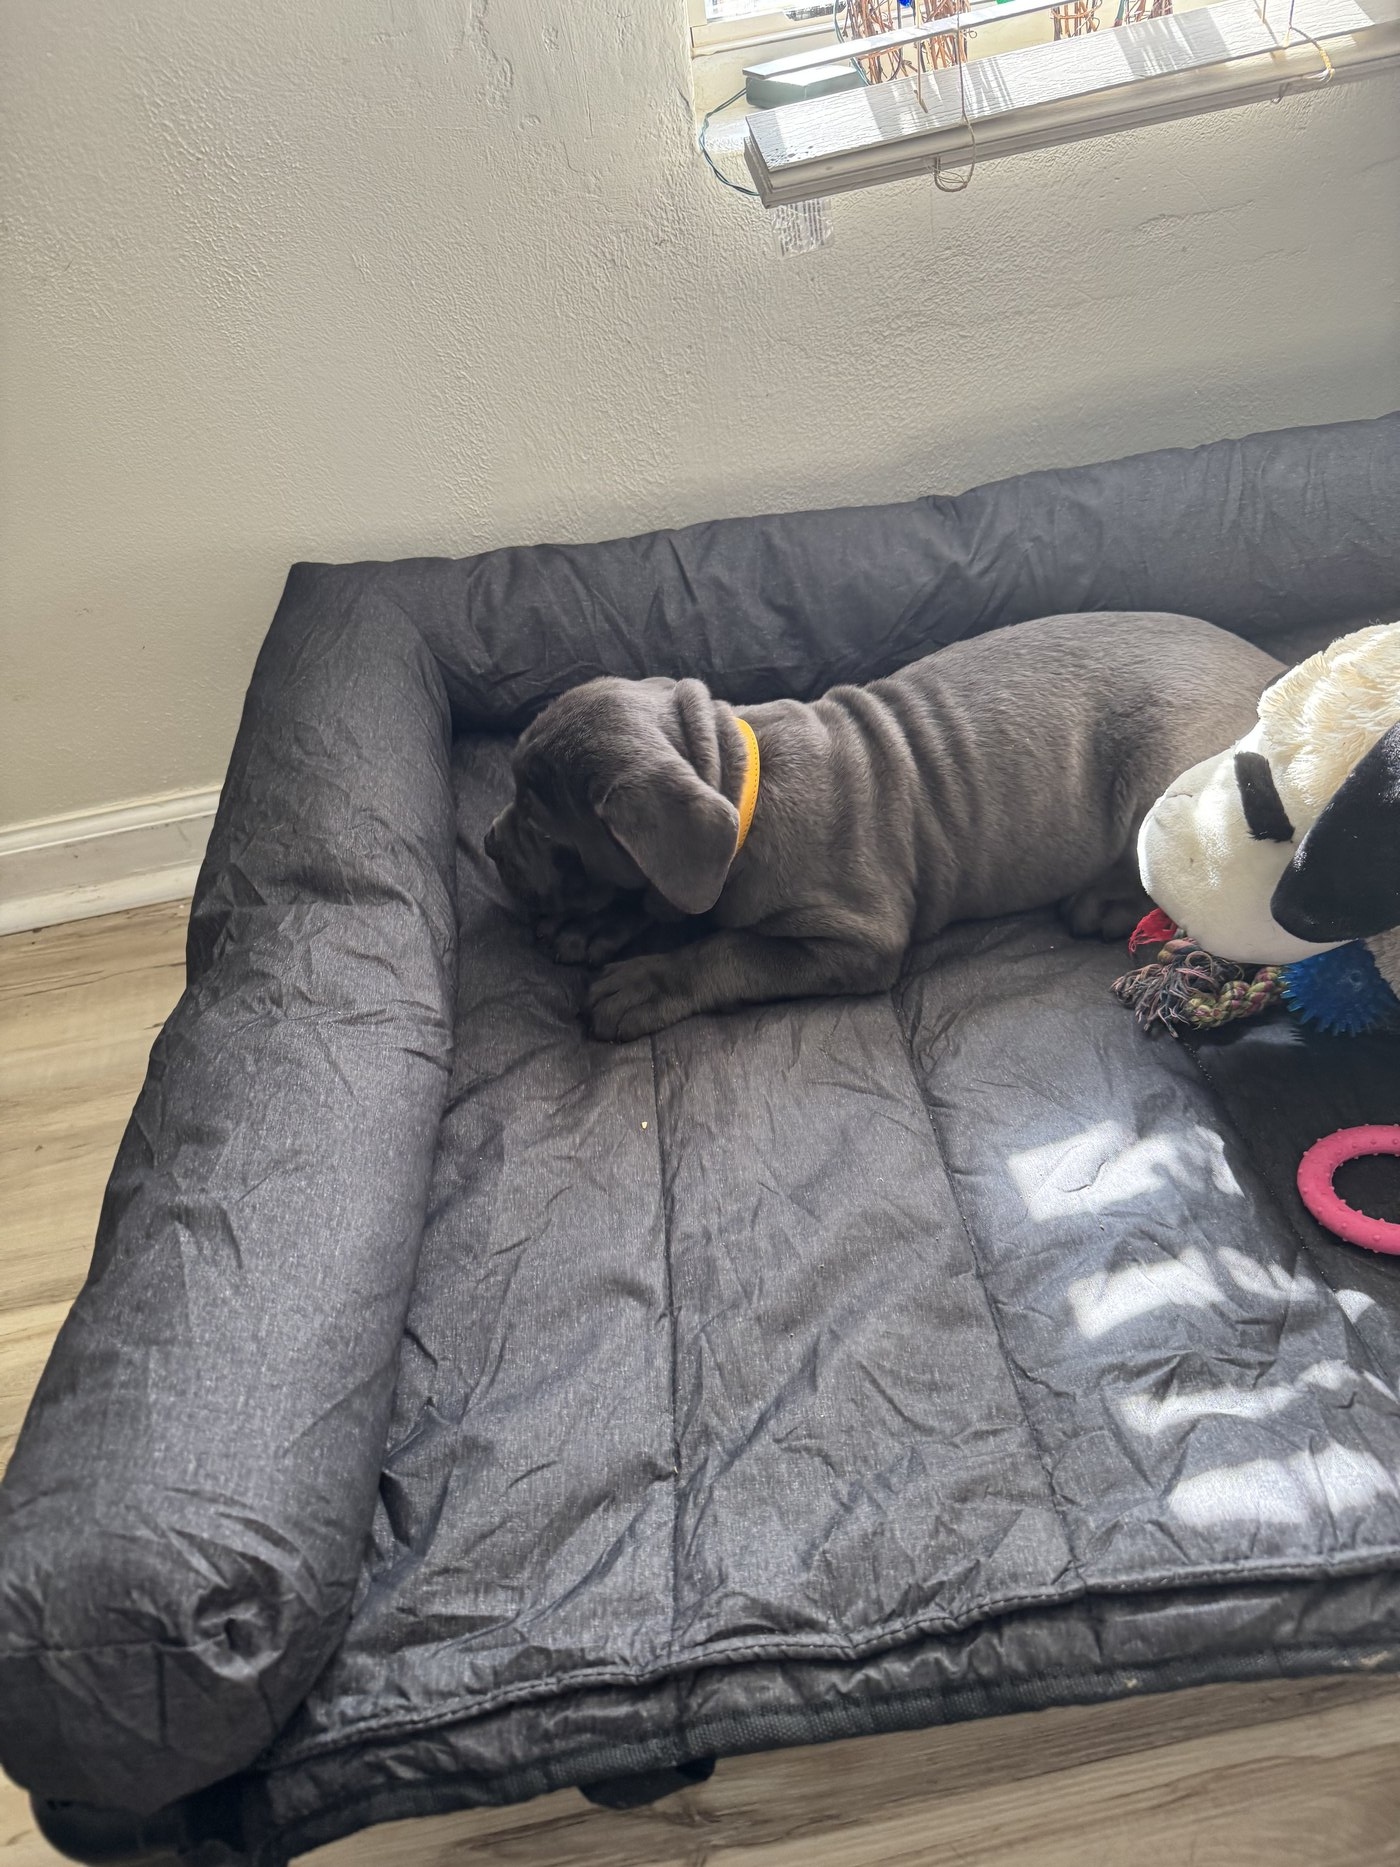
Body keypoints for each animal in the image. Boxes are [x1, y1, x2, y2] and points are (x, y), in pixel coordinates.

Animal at [484, 613, 1284, 1041]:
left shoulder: (857, 941)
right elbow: (669, 901)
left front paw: (645, 980)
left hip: (1166, 777)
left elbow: (729, 948)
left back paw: (1105, 904)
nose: (488, 844)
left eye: (546, 834)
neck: (743, 787)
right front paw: (597, 928)